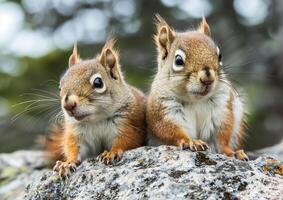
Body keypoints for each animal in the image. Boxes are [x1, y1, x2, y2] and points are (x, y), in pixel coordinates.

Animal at [45, 39, 146, 177]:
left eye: (98, 83)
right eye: (60, 86)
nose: (68, 105)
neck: (96, 120)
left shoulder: (128, 125)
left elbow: (126, 141)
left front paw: (111, 153)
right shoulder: (76, 134)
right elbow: (73, 148)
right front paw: (67, 163)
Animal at [146, 14, 248, 160]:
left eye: (220, 55)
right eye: (178, 60)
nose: (208, 78)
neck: (196, 100)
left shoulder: (222, 109)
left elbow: (223, 137)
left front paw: (232, 153)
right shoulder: (165, 111)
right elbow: (169, 130)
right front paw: (192, 142)